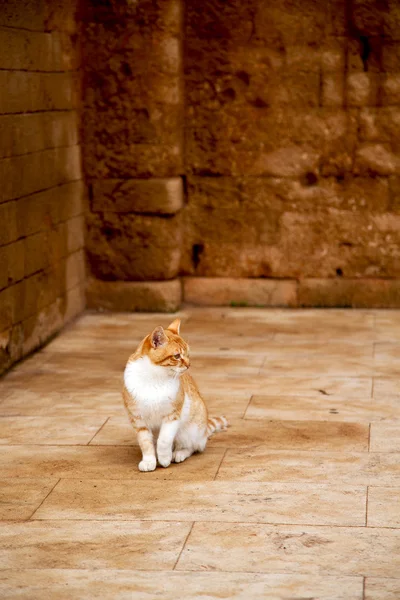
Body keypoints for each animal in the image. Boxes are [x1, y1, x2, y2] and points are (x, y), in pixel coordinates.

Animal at [122, 316, 228, 472]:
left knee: (193, 446)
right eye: (177, 356)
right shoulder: (138, 419)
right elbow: (145, 443)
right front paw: (149, 461)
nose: (188, 365)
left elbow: (164, 440)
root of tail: (204, 431)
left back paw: (179, 453)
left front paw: (164, 458)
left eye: (188, 354)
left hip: (189, 430)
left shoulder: (172, 416)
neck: (154, 377)